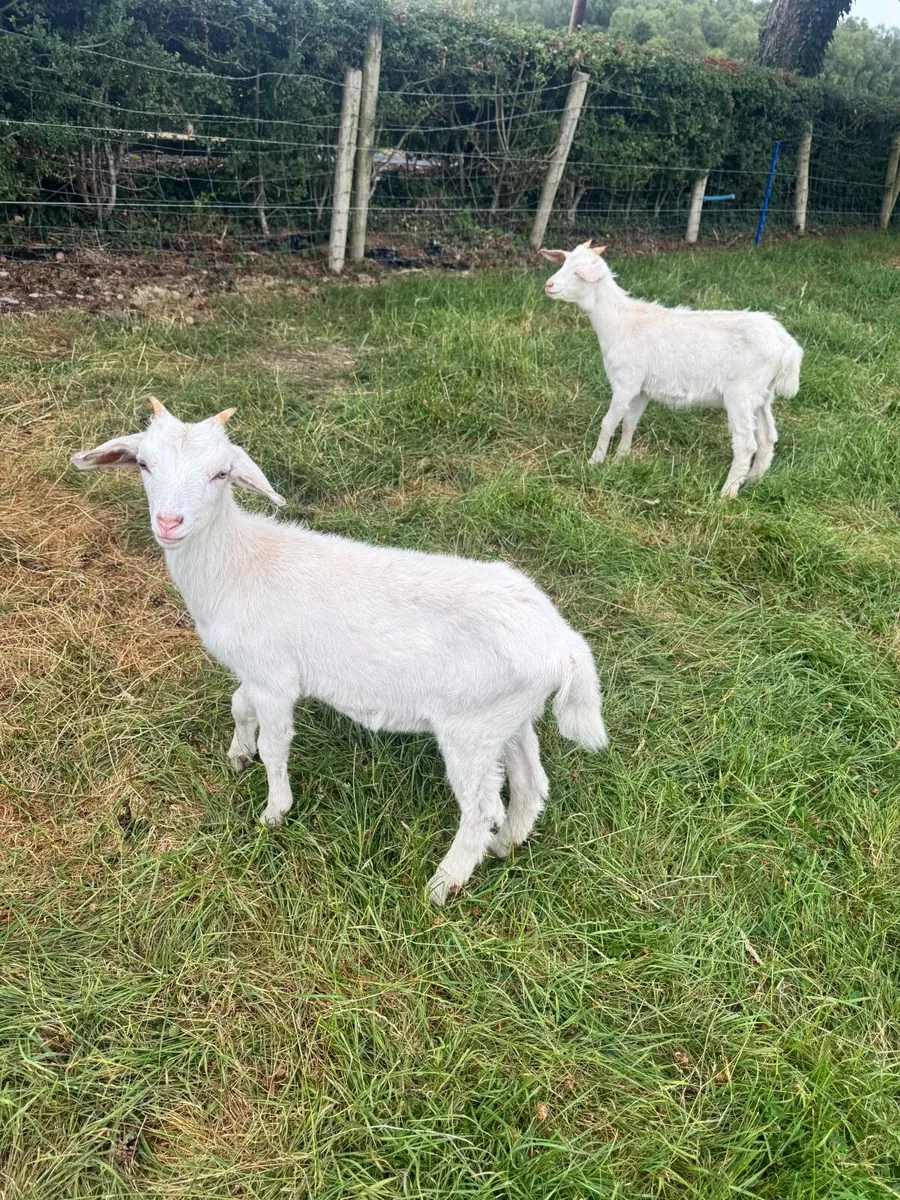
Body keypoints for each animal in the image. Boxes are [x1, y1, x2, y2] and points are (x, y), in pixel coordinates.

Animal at [71, 399, 609, 904]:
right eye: (144, 464)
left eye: (221, 473)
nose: (169, 522)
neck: (236, 563)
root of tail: (565, 645)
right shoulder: (257, 670)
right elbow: (239, 704)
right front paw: (238, 754)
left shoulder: (275, 677)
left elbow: (276, 743)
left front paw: (274, 811)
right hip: (508, 719)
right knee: (531, 784)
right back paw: (505, 846)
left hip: (471, 729)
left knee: (481, 808)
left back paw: (443, 885)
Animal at [541, 241, 803, 499]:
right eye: (564, 262)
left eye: (579, 272)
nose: (548, 285)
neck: (620, 322)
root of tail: (787, 346)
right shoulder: (641, 390)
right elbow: (629, 423)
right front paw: (620, 460)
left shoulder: (626, 382)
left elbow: (608, 423)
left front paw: (594, 463)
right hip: (762, 393)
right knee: (767, 437)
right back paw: (752, 482)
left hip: (742, 393)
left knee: (746, 443)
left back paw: (727, 493)